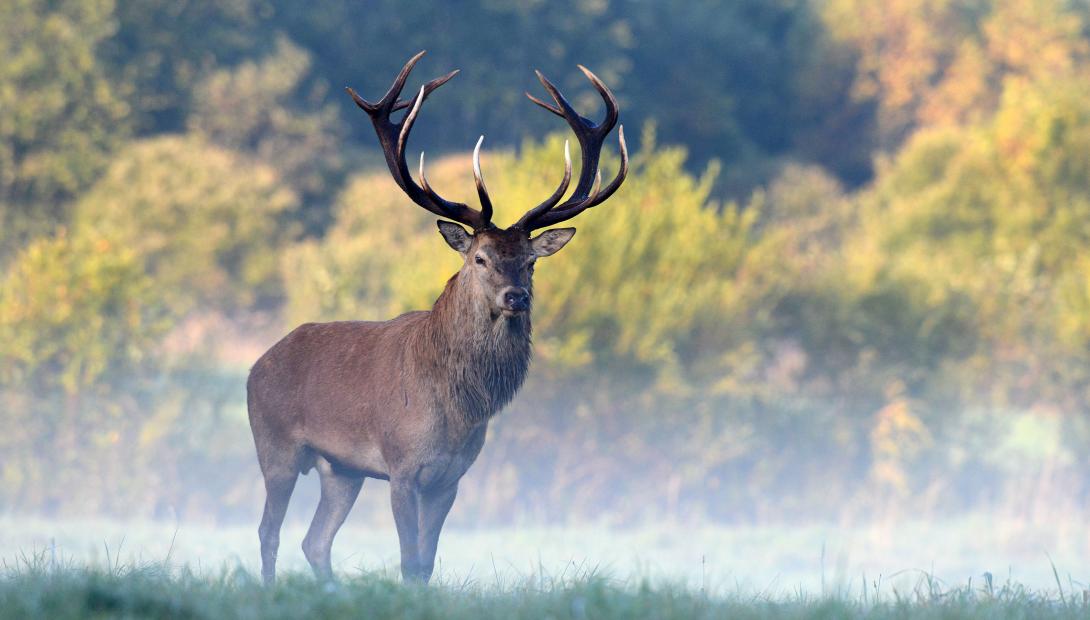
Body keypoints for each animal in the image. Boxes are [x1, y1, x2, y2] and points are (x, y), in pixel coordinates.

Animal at [244, 49, 627, 584]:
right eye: (480, 258)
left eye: (530, 262)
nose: (516, 297)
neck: (455, 408)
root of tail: (257, 364)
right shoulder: (402, 467)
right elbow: (407, 559)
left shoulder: (451, 478)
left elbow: (426, 562)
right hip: (275, 445)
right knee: (268, 532)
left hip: (342, 470)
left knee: (314, 540)